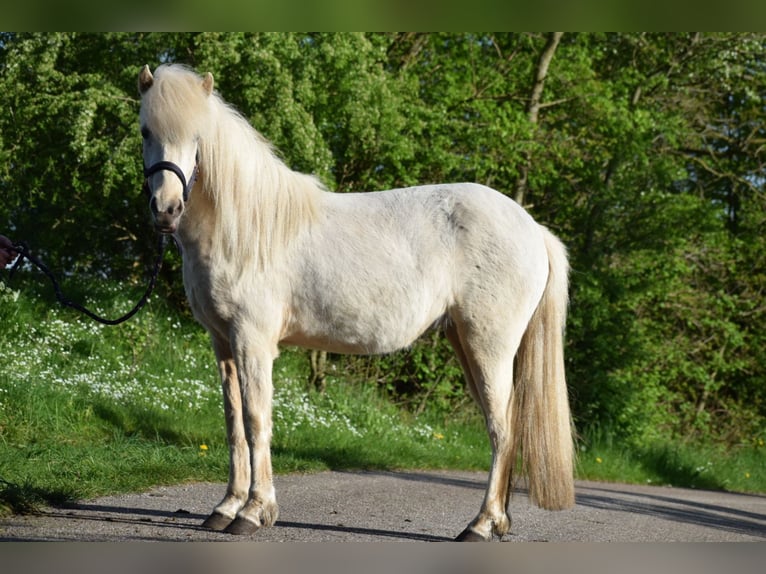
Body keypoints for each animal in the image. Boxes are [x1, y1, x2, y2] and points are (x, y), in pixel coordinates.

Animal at [136, 65, 576, 544]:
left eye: (197, 137)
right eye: (145, 131)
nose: (166, 210)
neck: (247, 228)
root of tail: (533, 228)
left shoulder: (253, 341)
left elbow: (256, 421)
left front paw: (253, 512)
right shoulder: (223, 343)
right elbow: (234, 424)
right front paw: (225, 507)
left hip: (488, 347)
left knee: (503, 430)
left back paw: (478, 526)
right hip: (465, 343)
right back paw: (496, 522)